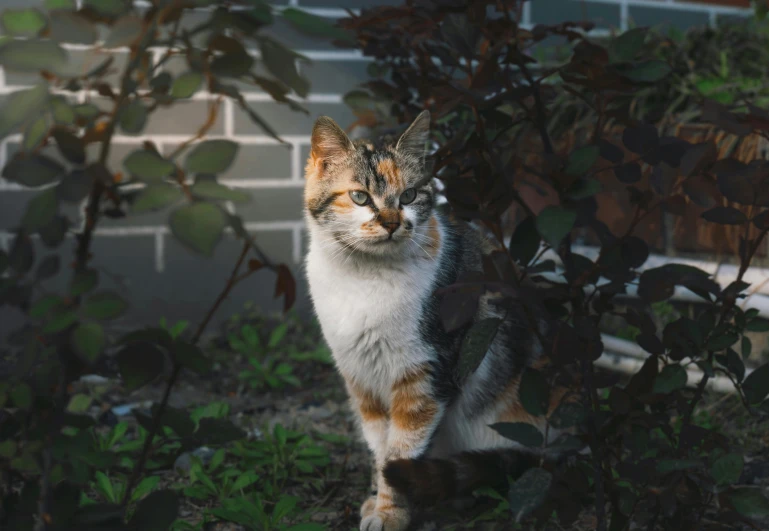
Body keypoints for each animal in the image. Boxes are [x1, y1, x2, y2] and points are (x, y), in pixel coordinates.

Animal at [304, 112, 564, 531]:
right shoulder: (361, 378)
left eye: (409, 196)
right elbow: (379, 448)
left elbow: (400, 453)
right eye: (360, 197)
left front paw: (390, 513)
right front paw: (377, 501)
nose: (392, 222)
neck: (364, 277)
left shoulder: (426, 374)